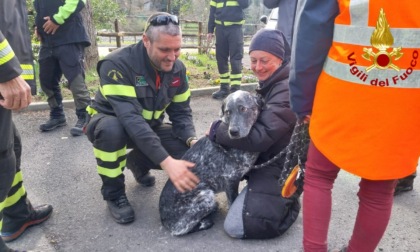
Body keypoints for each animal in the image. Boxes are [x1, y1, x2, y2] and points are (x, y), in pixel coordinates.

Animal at [159, 91, 260, 236]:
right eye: (228, 112)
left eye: (243, 109)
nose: (233, 132)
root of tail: (163, 219)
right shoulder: (231, 179)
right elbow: (232, 201)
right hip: (207, 196)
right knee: (180, 230)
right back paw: (205, 222)